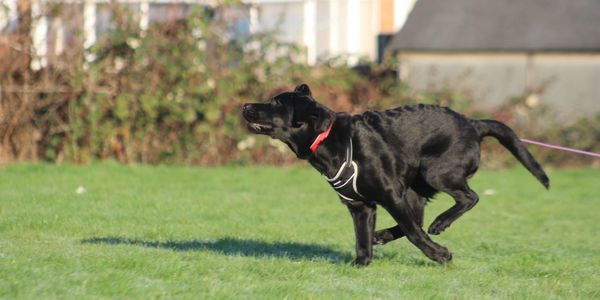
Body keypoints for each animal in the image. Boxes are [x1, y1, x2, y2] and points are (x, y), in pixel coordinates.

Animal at [240, 83, 548, 266]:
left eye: (276, 103)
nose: (245, 105)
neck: (327, 138)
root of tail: (472, 124)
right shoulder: (360, 206)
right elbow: (363, 238)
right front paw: (361, 264)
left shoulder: (389, 193)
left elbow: (413, 233)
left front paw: (440, 254)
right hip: (414, 191)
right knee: (418, 219)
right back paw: (384, 235)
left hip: (435, 172)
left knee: (467, 199)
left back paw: (440, 224)